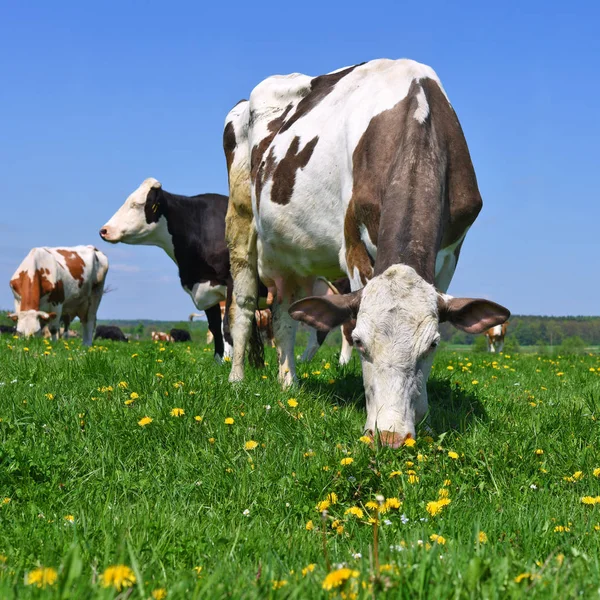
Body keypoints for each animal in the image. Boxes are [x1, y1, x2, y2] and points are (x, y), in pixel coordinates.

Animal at [99, 180, 233, 360]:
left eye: (136, 204)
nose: (104, 230)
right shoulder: (206, 292)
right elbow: (215, 329)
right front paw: (220, 363)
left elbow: (228, 327)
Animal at [223, 58, 508, 448]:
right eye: (359, 343)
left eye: (432, 345)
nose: (389, 436)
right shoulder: (354, 244)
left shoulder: (451, 253)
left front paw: (423, 413)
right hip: (241, 221)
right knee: (245, 304)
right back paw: (237, 380)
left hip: (293, 256)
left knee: (284, 316)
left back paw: (288, 384)